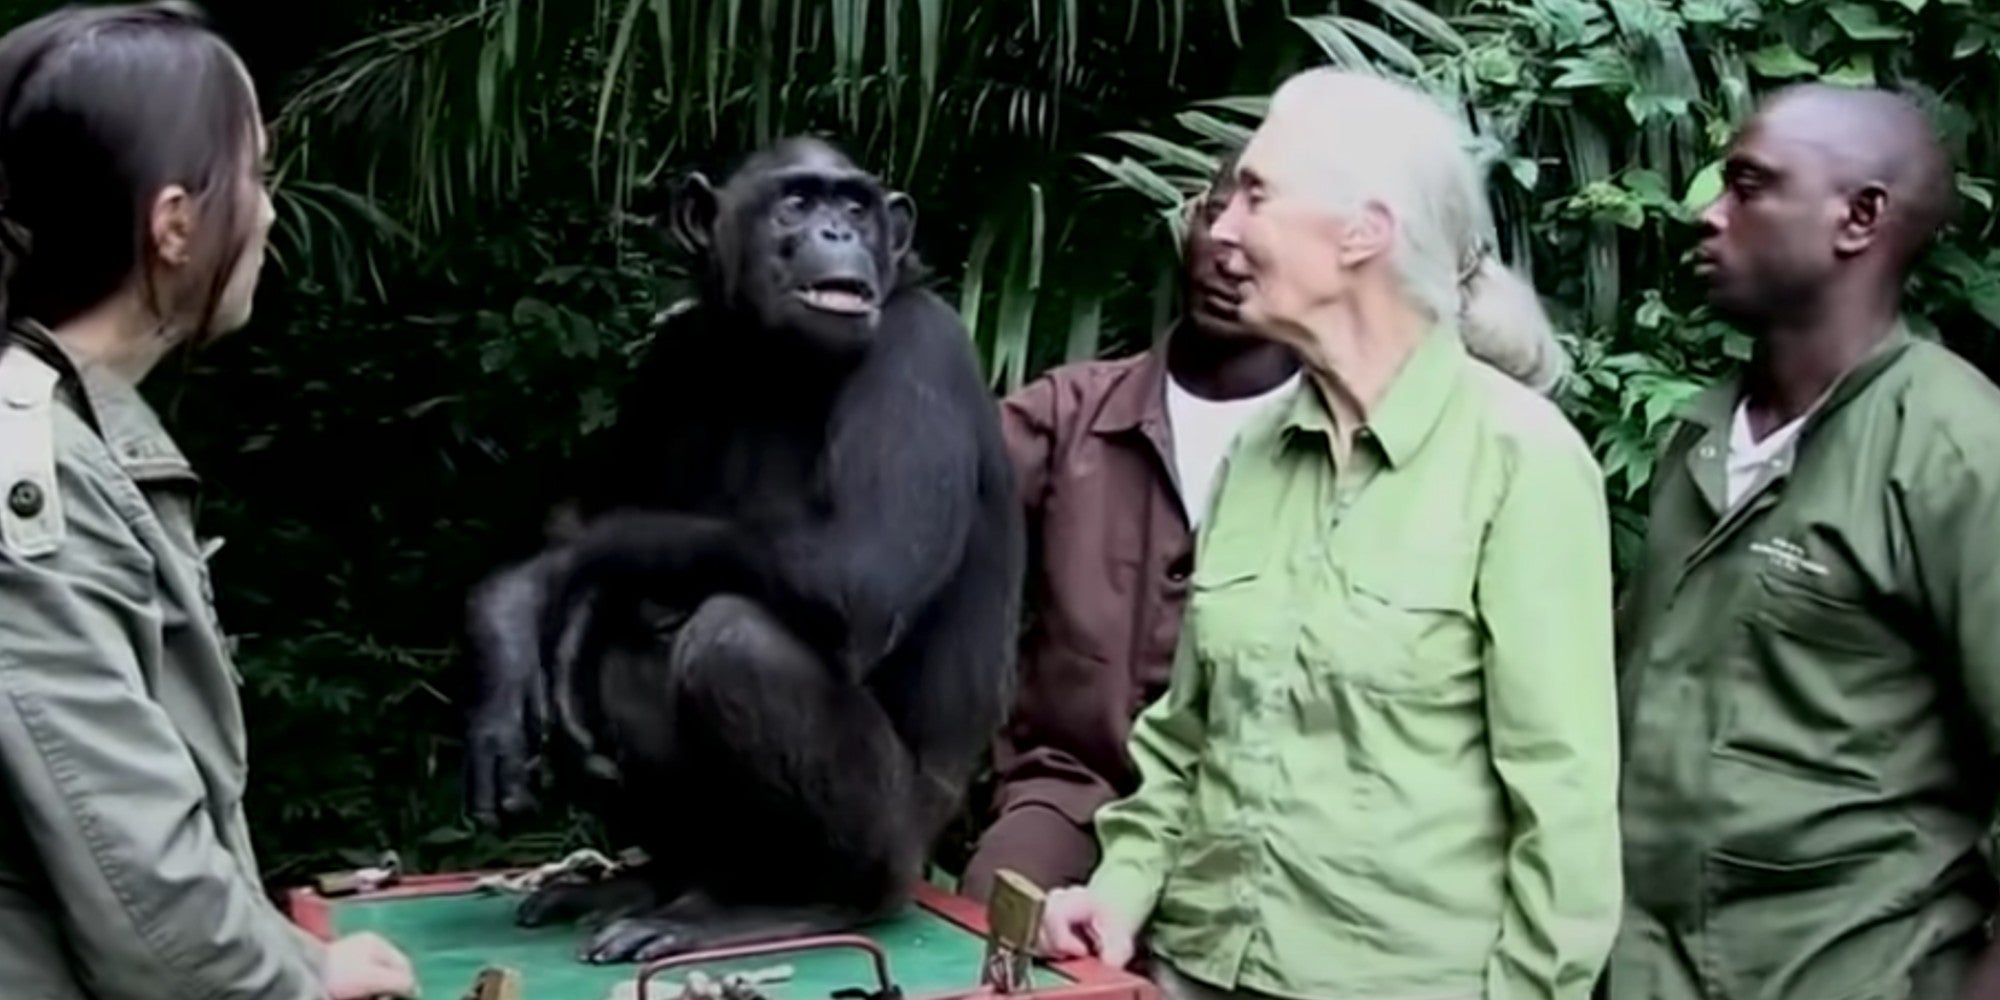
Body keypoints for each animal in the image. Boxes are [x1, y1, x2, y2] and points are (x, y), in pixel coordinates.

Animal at [460, 137, 1024, 964]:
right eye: (796, 202)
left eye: (854, 205)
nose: (836, 231)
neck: (773, 358)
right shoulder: (669, 356)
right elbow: (590, 509)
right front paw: (516, 629)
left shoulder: (920, 353)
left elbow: (863, 569)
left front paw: (533, 588)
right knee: (621, 656)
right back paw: (657, 880)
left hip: (900, 838)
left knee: (733, 640)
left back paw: (802, 902)